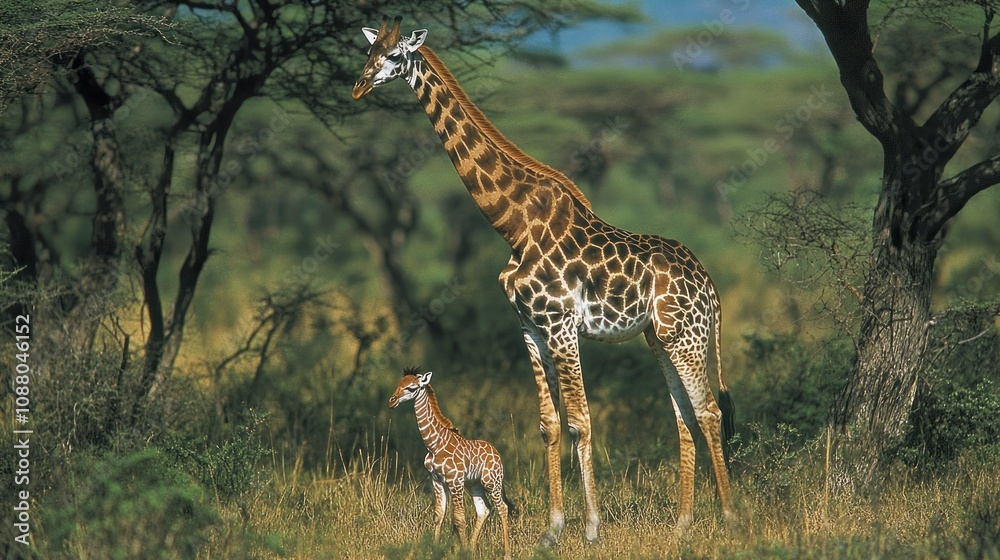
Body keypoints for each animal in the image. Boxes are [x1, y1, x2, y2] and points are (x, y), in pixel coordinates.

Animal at [389, 367, 513, 559]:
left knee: (502, 508)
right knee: (484, 510)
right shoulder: (437, 479)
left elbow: (458, 518)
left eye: (411, 388)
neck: (434, 444)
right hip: (474, 484)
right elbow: (439, 515)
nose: (391, 401)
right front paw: (436, 550)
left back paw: (506, 554)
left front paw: (461, 552)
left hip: (491, 482)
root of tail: (498, 455)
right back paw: (472, 548)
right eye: (398, 384)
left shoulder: (455, 480)